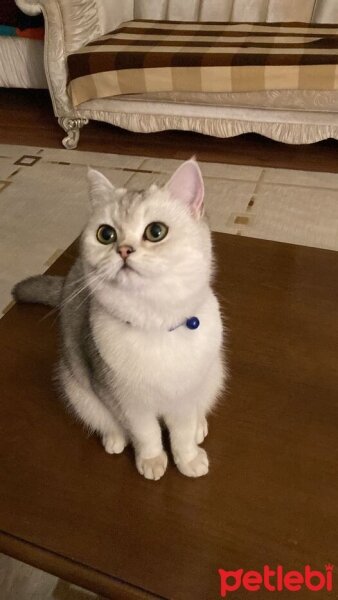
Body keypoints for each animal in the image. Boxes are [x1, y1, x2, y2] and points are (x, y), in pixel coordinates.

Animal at [13, 157, 226, 480]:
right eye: (106, 235)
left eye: (156, 231)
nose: (124, 250)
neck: (154, 322)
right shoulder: (126, 401)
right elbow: (146, 434)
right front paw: (151, 460)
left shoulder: (185, 396)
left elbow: (182, 433)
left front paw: (188, 459)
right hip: (77, 389)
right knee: (105, 421)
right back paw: (114, 439)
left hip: (214, 375)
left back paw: (200, 427)